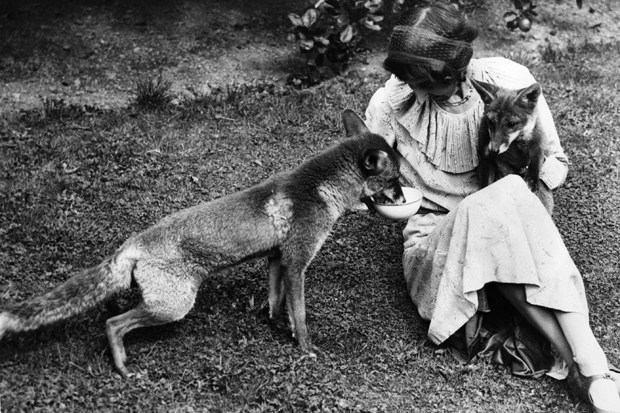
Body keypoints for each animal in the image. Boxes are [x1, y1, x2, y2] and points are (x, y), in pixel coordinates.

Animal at [0, 109, 405, 377]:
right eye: (395, 179)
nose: (407, 198)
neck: (319, 190)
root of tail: (133, 243)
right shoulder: (296, 263)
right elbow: (301, 315)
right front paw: (305, 350)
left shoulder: (276, 259)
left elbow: (276, 304)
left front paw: (276, 328)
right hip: (174, 306)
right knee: (113, 324)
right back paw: (122, 368)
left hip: (163, 302)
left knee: (111, 310)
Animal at [471, 78, 554, 214]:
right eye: (491, 122)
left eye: (512, 124)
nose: (494, 150)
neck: (516, 142)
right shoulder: (486, 155)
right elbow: (485, 185)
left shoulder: (538, 141)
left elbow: (536, 160)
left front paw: (532, 179)